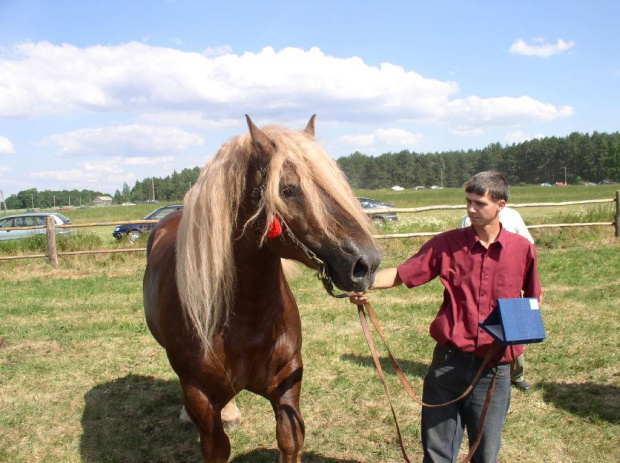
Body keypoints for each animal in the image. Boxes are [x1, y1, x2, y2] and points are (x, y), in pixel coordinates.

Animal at [143, 114, 380, 462]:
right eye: (288, 189)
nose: (367, 263)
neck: (246, 316)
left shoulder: (287, 384)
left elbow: (290, 440)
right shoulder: (200, 397)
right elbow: (217, 447)